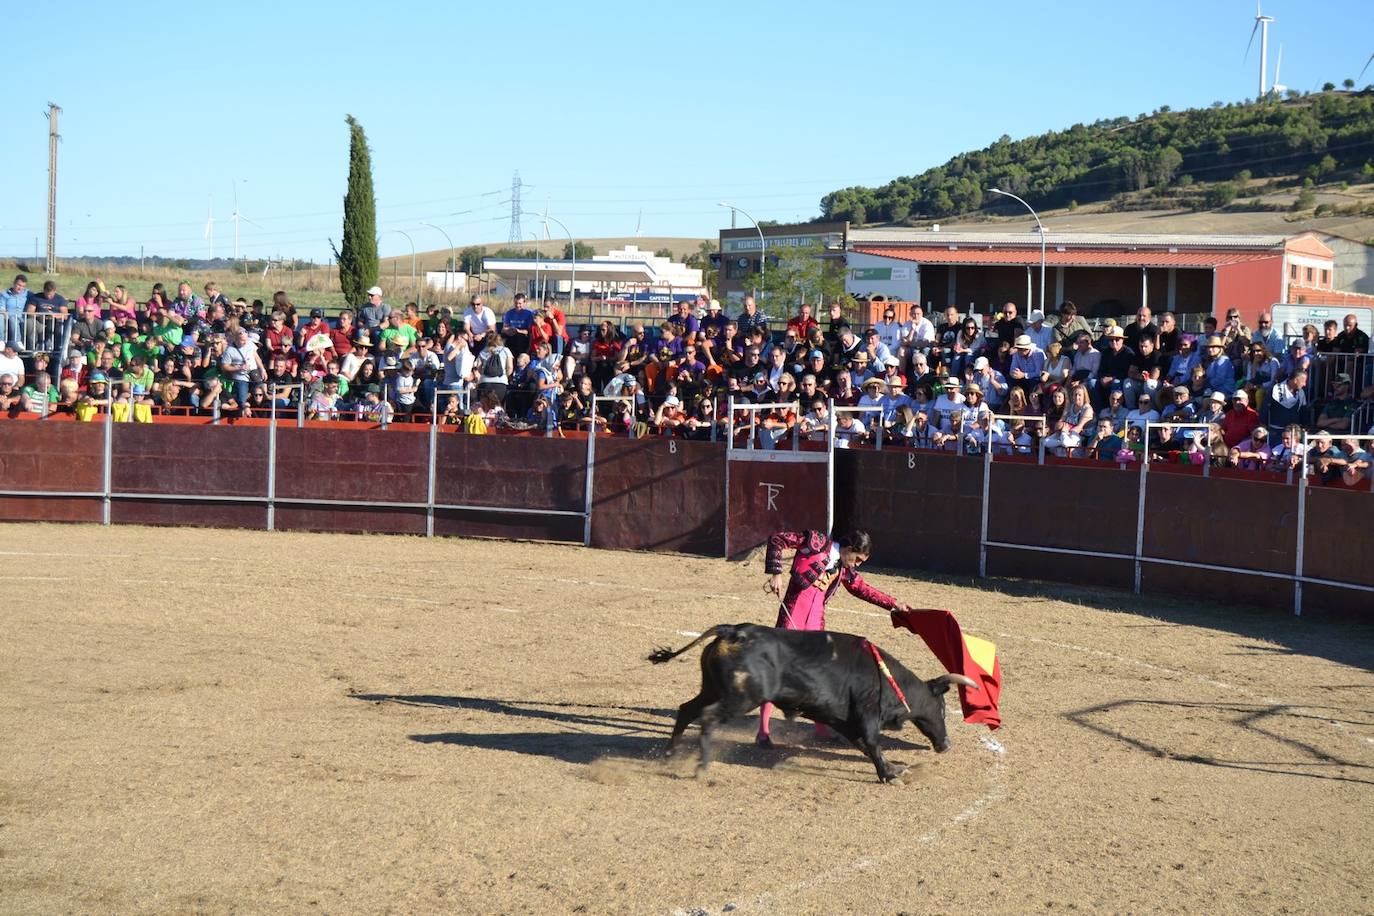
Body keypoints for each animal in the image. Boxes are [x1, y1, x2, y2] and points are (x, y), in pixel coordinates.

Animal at [645, 623, 978, 780]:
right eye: (943, 709)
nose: (946, 744)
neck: (883, 675)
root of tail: (732, 631)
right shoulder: (867, 713)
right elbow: (872, 742)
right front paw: (889, 774)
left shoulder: (841, 719)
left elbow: (864, 745)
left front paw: (892, 768)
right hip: (740, 698)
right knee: (707, 718)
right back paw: (701, 766)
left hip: (712, 688)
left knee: (687, 709)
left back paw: (669, 755)